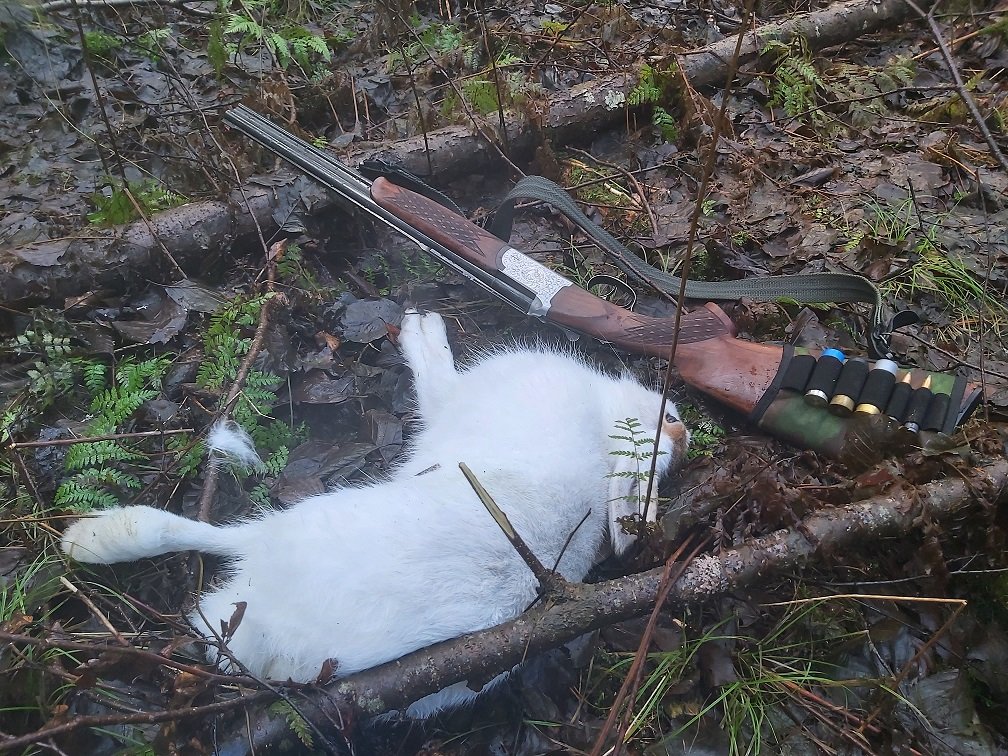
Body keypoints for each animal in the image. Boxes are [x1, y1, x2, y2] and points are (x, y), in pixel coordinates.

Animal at [61, 310, 689, 717]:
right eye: (661, 435)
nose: (681, 426)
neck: (602, 431)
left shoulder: (454, 402)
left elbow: (436, 379)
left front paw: (421, 327)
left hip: (288, 530)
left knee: (200, 543)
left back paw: (88, 538)